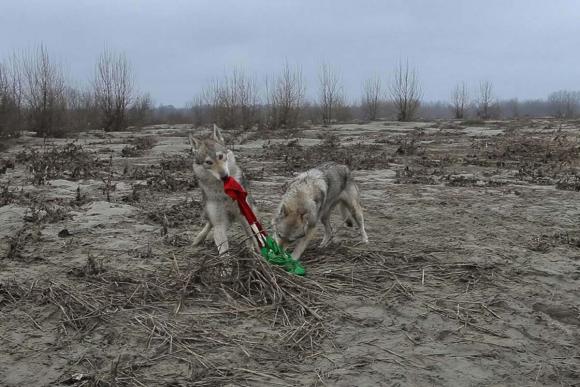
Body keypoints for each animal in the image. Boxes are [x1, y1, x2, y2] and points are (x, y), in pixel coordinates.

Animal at [189, 126, 258, 256]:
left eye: (220, 156)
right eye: (208, 162)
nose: (224, 176)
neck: (223, 191)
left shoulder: (244, 215)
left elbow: (252, 237)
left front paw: (255, 255)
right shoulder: (219, 222)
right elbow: (223, 250)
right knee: (209, 224)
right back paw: (199, 238)